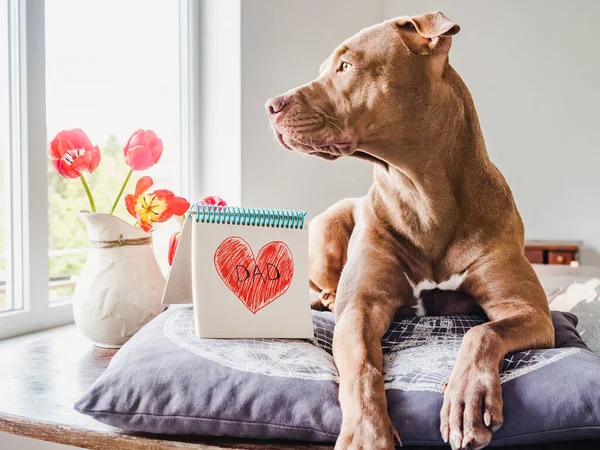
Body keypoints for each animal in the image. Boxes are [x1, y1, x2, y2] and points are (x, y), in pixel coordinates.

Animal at [266, 11, 552, 450]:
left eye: (345, 66)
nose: (270, 106)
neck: (422, 196)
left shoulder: (529, 311)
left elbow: (482, 332)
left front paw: (467, 400)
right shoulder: (361, 310)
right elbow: (363, 366)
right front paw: (367, 434)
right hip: (328, 231)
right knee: (327, 287)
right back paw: (324, 300)